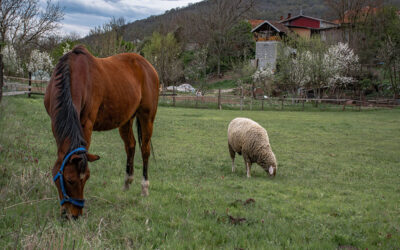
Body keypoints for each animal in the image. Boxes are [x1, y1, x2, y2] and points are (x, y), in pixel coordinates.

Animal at [44, 45, 159, 219]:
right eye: (69, 180)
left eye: (86, 179)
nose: (74, 215)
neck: (72, 73)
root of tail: (148, 66)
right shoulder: (54, 122)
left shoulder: (86, 124)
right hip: (126, 119)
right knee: (130, 146)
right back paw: (127, 183)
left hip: (147, 117)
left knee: (145, 150)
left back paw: (144, 187)